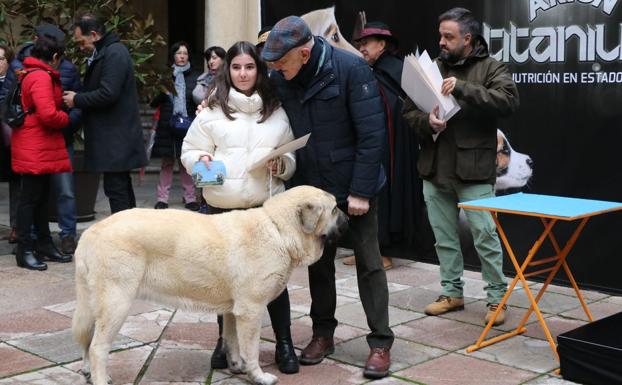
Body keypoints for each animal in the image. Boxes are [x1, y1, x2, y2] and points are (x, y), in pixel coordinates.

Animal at [72, 184, 352, 382]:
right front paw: (258, 376)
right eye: (334, 209)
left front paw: (236, 365)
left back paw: (88, 371)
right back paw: (100, 378)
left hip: (94, 304)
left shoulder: (234, 310)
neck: (278, 230)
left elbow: (232, 339)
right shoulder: (251, 310)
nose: (350, 218)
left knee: (87, 339)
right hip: (116, 303)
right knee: (98, 347)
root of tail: (89, 233)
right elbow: (250, 347)